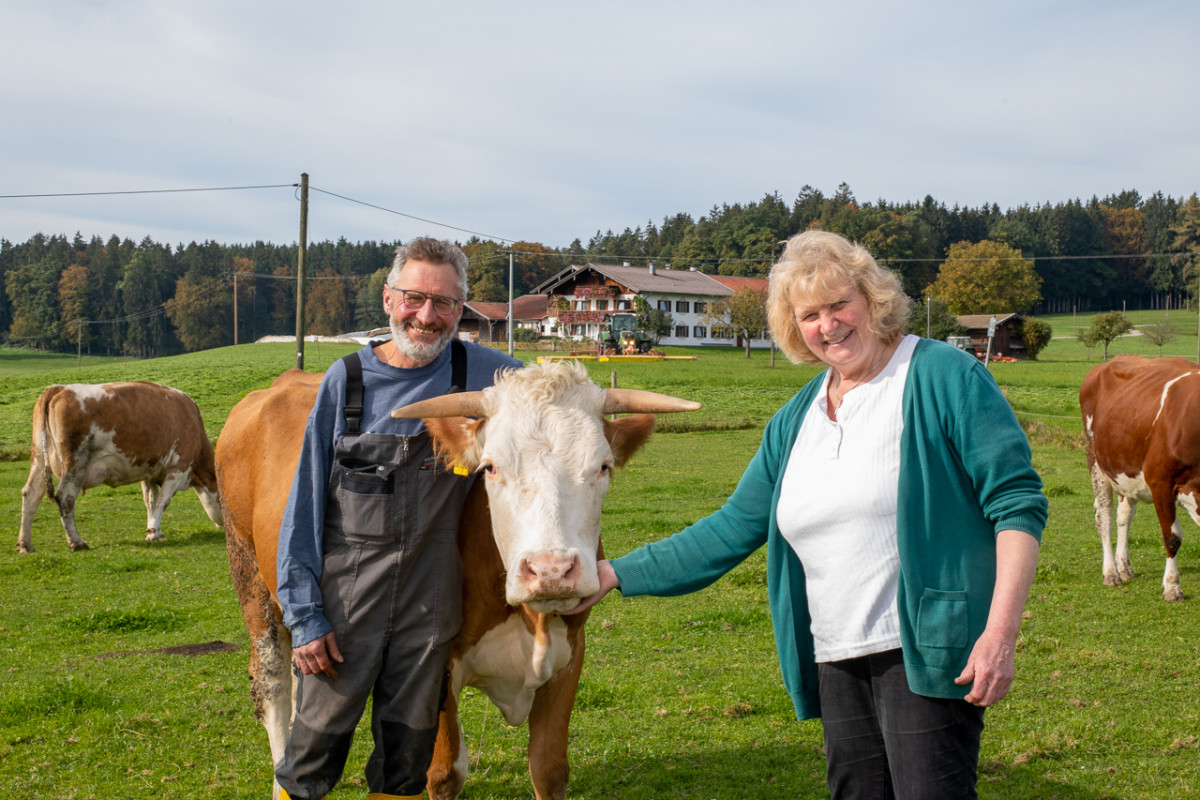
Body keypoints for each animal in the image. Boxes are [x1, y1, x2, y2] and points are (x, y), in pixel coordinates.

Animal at [18, 381, 225, 554]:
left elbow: (150, 500)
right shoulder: (179, 468)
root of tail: (59, 388)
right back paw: (77, 542)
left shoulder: (149, 471)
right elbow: (162, 501)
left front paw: (155, 531)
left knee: (31, 494)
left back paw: (25, 545)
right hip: (75, 464)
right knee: (65, 499)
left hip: (39, 457)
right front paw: (153, 532)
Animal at [218, 362, 700, 800]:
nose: (550, 571)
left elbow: (549, 769)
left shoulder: (570, 655)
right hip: (248, 570)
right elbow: (445, 772)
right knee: (274, 682)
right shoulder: (435, 667)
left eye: (602, 467)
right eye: (490, 468)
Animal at [1080, 357, 1200, 599]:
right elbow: (1172, 537)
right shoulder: (1160, 481)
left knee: (1124, 516)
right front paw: (1172, 587)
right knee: (1104, 516)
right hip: (1095, 459)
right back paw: (1111, 573)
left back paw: (1124, 567)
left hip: (1126, 470)